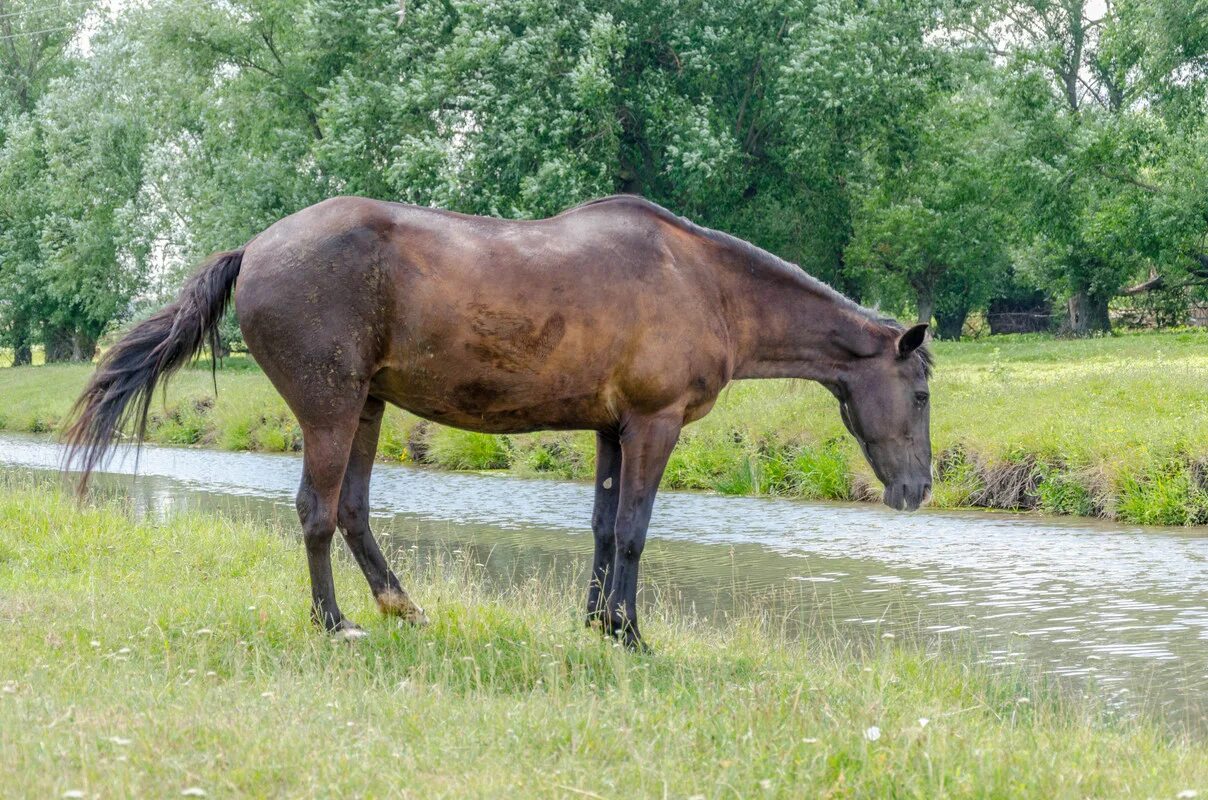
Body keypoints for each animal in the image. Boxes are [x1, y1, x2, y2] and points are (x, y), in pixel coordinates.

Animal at [63, 195, 932, 652]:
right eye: (922, 390)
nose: (920, 488)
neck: (703, 282)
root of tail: (257, 247)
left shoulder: (612, 430)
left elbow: (602, 527)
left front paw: (596, 623)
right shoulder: (654, 426)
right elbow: (634, 532)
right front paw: (630, 633)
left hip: (369, 407)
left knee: (351, 511)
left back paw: (402, 607)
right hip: (333, 409)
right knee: (316, 512)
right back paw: (336, 622)